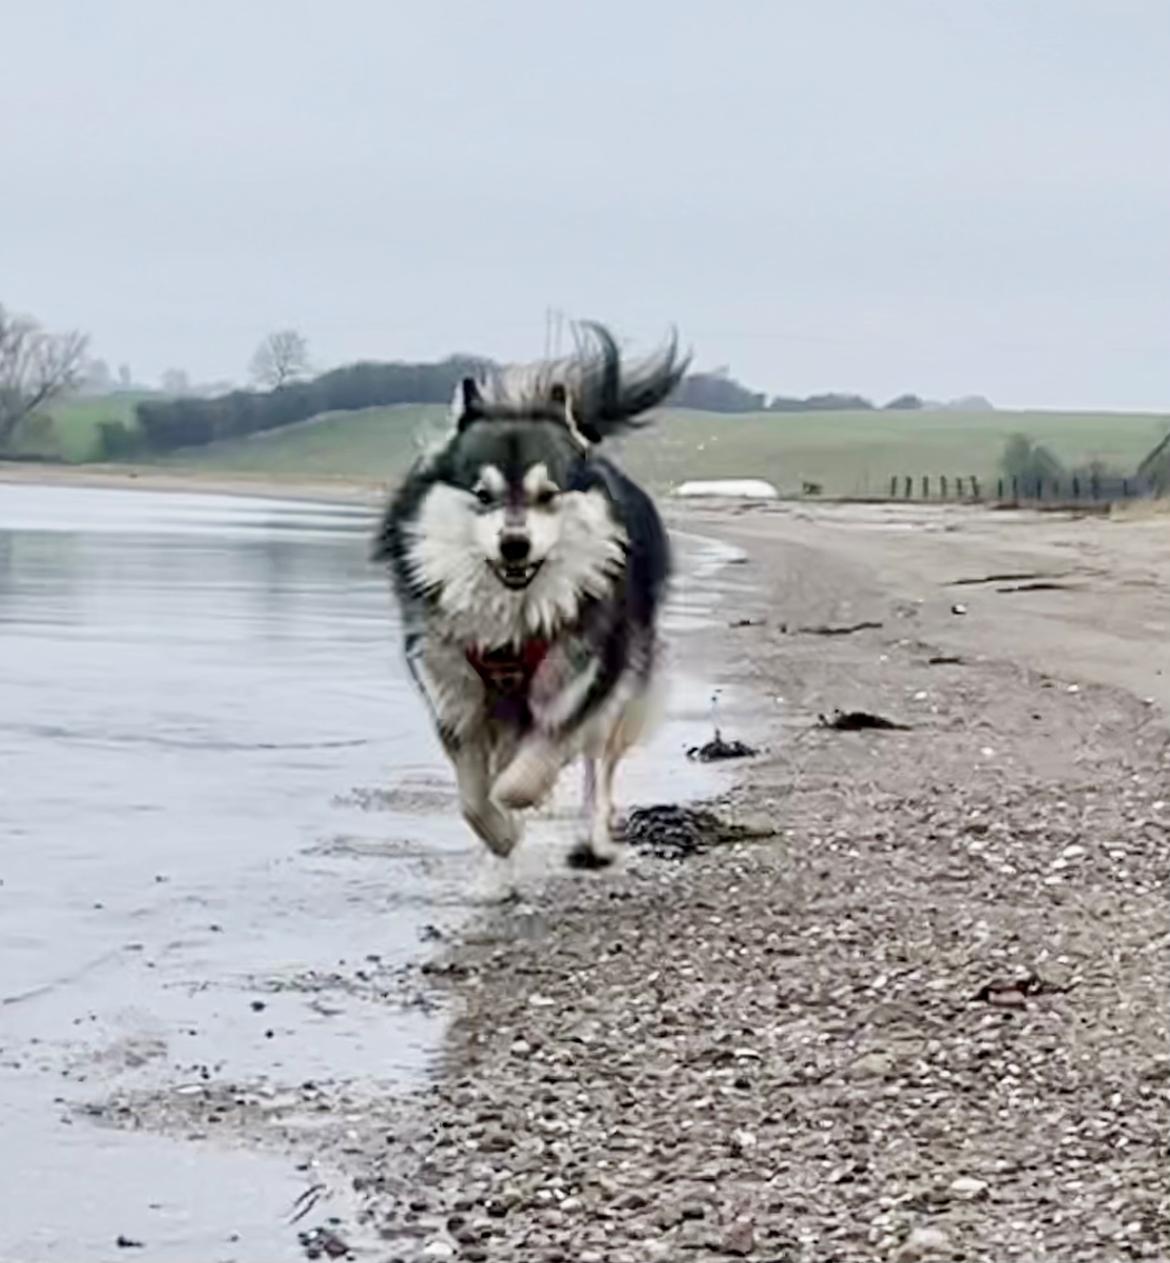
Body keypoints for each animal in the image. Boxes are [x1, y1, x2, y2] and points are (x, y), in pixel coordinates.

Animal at [376, 323, 687, 868]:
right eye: (483, 495)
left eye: (548, 495)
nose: (515, 544)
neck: (511, 621)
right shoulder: (456, 697)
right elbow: (473, 798)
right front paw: (499, 834)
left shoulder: (580, 684)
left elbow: (526, 773)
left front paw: (520, 799)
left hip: (616, 694)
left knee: (598, 774)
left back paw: (593, 840)